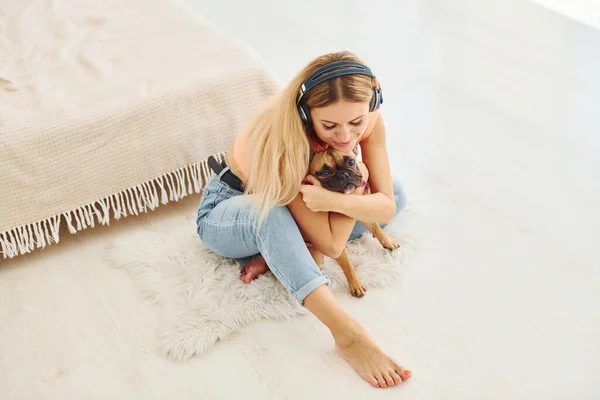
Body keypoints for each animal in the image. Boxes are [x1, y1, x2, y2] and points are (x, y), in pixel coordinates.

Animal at [308, 147, 400, 296]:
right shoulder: (336, 243)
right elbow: (347, 265)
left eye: (351, 162)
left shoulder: (358, 210)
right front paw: (355, 284)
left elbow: (375, 227)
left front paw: (388, 242)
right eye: (324, 173)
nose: (344, 174)